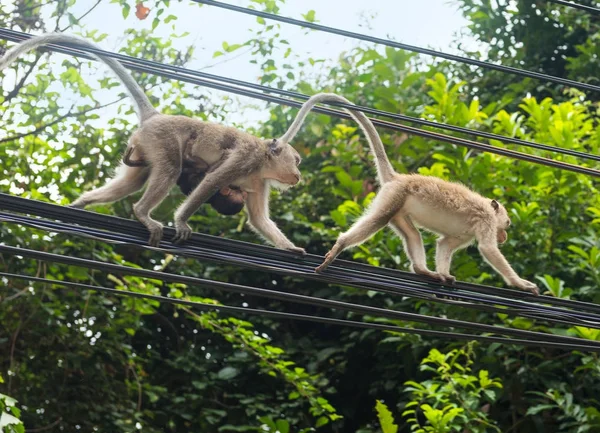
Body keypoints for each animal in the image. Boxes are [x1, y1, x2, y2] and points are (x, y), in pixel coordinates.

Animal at [0, 34, 338, 250]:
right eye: (297, 160)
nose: (299, 174)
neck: (263, 164)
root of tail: (155, 116)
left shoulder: (259, 182)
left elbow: (258, 218)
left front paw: (290, 248)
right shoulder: (247, 159)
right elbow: (211, 180)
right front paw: (182, 222)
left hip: (144, 145)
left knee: (132, 181)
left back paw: (84, 203)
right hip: (161, 139)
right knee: (170, 168)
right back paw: (142, 213)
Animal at [284, 94, 540, 296]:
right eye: (506, 224)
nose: (504, 237)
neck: (488, 210)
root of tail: (398, 178)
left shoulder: (467, 235)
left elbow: (445, 244)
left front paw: (444, 274)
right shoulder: (485, 219)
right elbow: (488, 249)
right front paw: (521, 283)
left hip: (400, 210)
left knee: (412, 234)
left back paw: (424, 271)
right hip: (393, 197)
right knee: (379, 219)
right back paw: (340, 245)